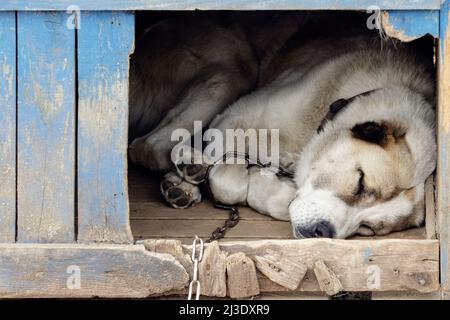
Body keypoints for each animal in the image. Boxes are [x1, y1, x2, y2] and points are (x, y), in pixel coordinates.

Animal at [129, 13, 436, 238]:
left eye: (368, 229)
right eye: (360, 184)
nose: (322, 232)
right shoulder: (234, 120)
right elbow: (227, 179)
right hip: (230, 72)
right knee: (147, 147)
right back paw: (189, 165)